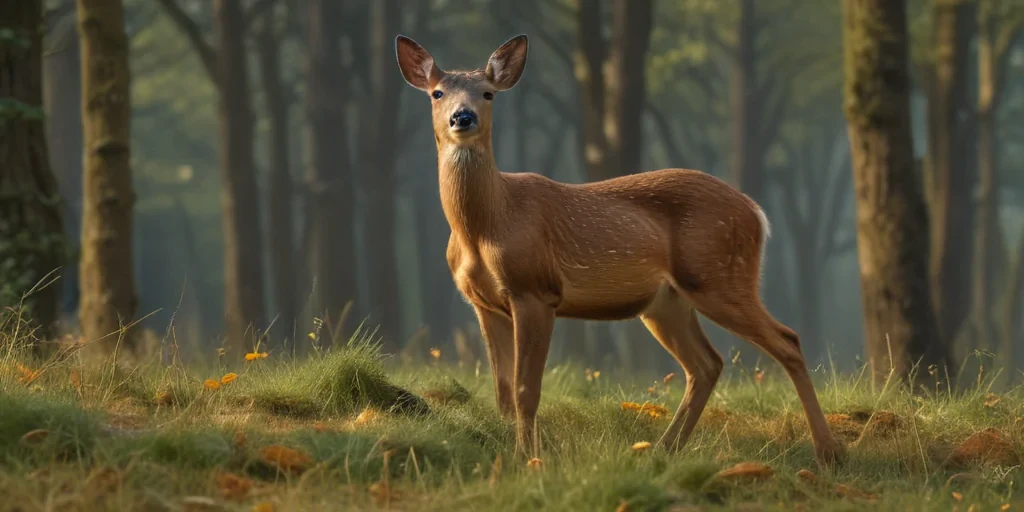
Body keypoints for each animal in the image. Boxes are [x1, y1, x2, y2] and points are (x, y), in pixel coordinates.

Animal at [394, 33, 846, 467]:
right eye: (437, 93)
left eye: (488, 93)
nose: (462, 117)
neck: (487, 226)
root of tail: (756, 212)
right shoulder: (484, 304)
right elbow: (503, 389)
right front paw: (510, 452)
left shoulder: (536, 290)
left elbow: (526, 388)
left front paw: (529, 457)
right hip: (667, 302)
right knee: (707, 363)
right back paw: (664, 449)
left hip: (719, 275)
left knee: (787, 341)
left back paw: (828, 453)